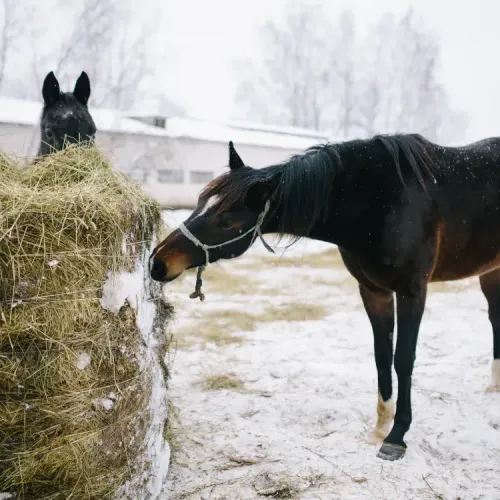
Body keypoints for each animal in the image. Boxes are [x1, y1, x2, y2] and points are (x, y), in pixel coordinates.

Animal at [149, 136, 500, 460]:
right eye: (200, 202)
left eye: (226, 220)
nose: (158, 262)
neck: (380, 200)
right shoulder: (373, 290)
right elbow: (382, 356)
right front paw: (379, 427)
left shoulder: (412, 290)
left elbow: (403, 359)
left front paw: (396, 436)